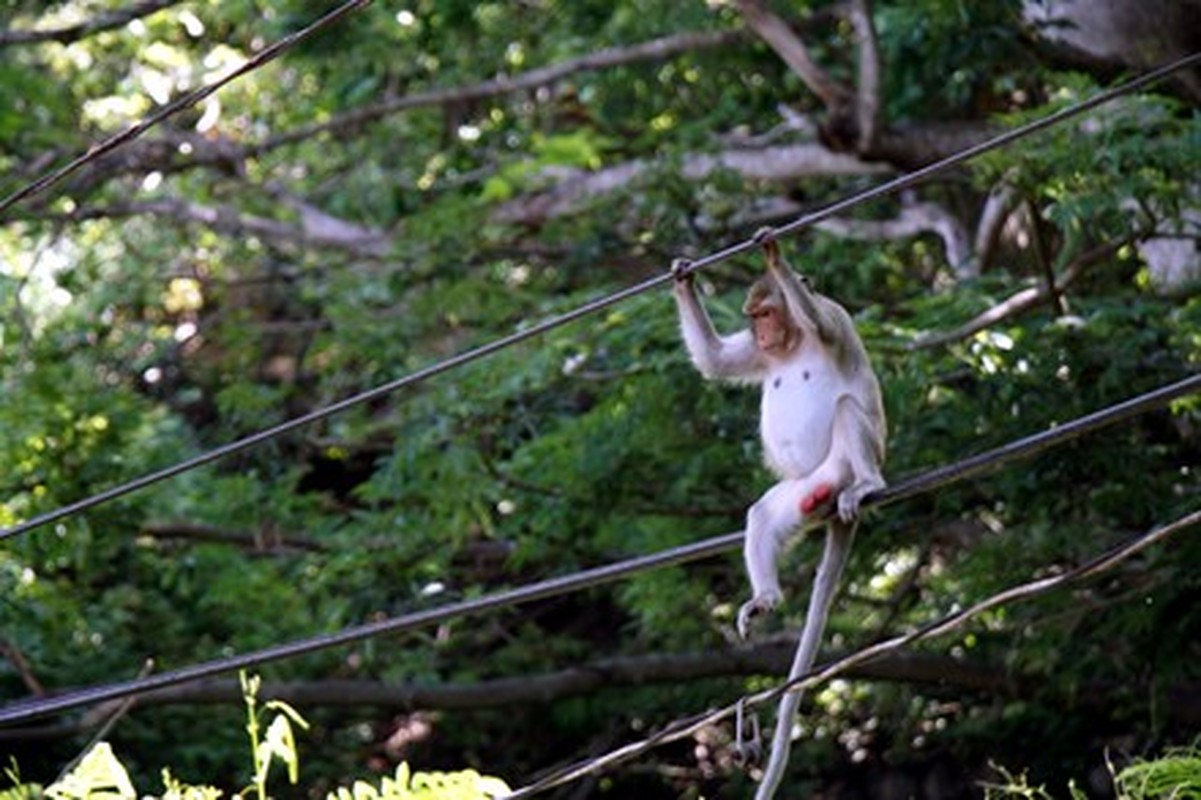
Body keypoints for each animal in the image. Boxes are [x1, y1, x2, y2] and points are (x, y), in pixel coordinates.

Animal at [672, 227, 888, 792]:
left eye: (768, 311)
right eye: (753, 318)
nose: (764, 332)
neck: (790, 345)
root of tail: (832, 490)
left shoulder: (832, 317)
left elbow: (819, 319)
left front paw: (775, 256)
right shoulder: (757, 353)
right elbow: (717, 361)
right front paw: (684, 279)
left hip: (843, 463)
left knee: (846, 410)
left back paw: (869, 483)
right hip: (804, 487)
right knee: (763, 516)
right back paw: (766, 598)